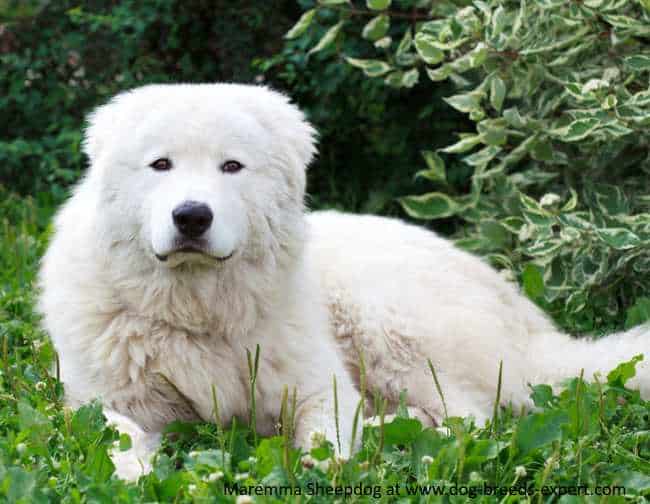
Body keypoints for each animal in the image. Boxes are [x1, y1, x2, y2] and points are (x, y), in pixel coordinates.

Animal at [39, 83, 644, 480]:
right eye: (160, 164)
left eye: (231, 167)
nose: (191, 217)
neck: (196, 308)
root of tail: (527, 320)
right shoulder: (103, 403)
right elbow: (119, 443)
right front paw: (138, 472)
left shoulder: (316, 386)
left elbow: (326, 434)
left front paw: (321, 462)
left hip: (383, 320)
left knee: (467, 420)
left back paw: (387, 435)